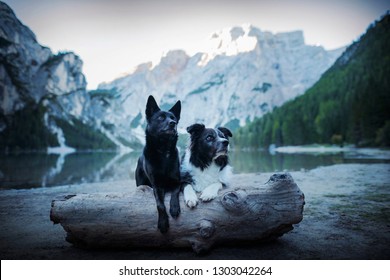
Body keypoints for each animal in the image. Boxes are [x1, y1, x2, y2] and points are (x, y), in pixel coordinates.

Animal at [136, 95, 181, 233]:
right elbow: (160, 205)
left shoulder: (177, 181)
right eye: (161, 118)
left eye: (173, 118)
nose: (173, 123)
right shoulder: (157, 186)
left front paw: (174, 208)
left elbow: (175, 193)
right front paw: (163, 222)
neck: (164, 151)